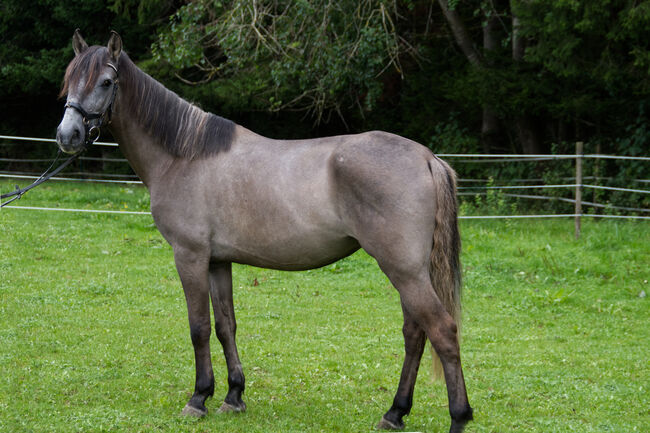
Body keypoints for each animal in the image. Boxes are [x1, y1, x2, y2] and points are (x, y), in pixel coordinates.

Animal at [55, 28, 470, 430]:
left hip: (404, 270)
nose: (67, 135)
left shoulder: (189, 256)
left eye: (107, 81)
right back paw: (395, 413)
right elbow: (226, 325)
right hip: (409, 272)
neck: (184, 155)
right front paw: (233, 396)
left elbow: (198, 326)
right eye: (70, 80)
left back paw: (458, 417)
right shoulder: (217, 261)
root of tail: (427, 158)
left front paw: (198, 398)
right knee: (415, 334)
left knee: (442, 331)